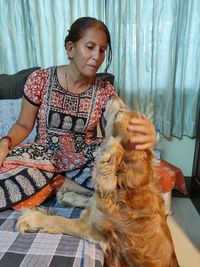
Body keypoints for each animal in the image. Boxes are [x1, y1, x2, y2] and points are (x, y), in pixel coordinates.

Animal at [16, 95, 179, 266]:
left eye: (118, 113)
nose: (112, 95)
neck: (125, 181)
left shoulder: (88, 229)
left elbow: (59, 220)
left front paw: (32, 218)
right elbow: (89, 200)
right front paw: (69, 196)